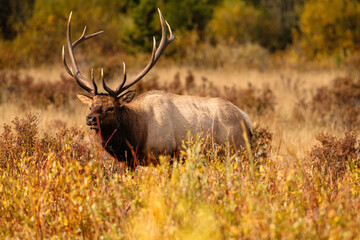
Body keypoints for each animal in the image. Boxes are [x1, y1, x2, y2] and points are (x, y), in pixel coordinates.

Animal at [62, 8, 252, 167]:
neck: (136, 137)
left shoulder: (164, 154)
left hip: (236, 149)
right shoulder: (130, 162)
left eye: (111, 107)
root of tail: (246, 119)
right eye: (90, 106)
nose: (90, 119)